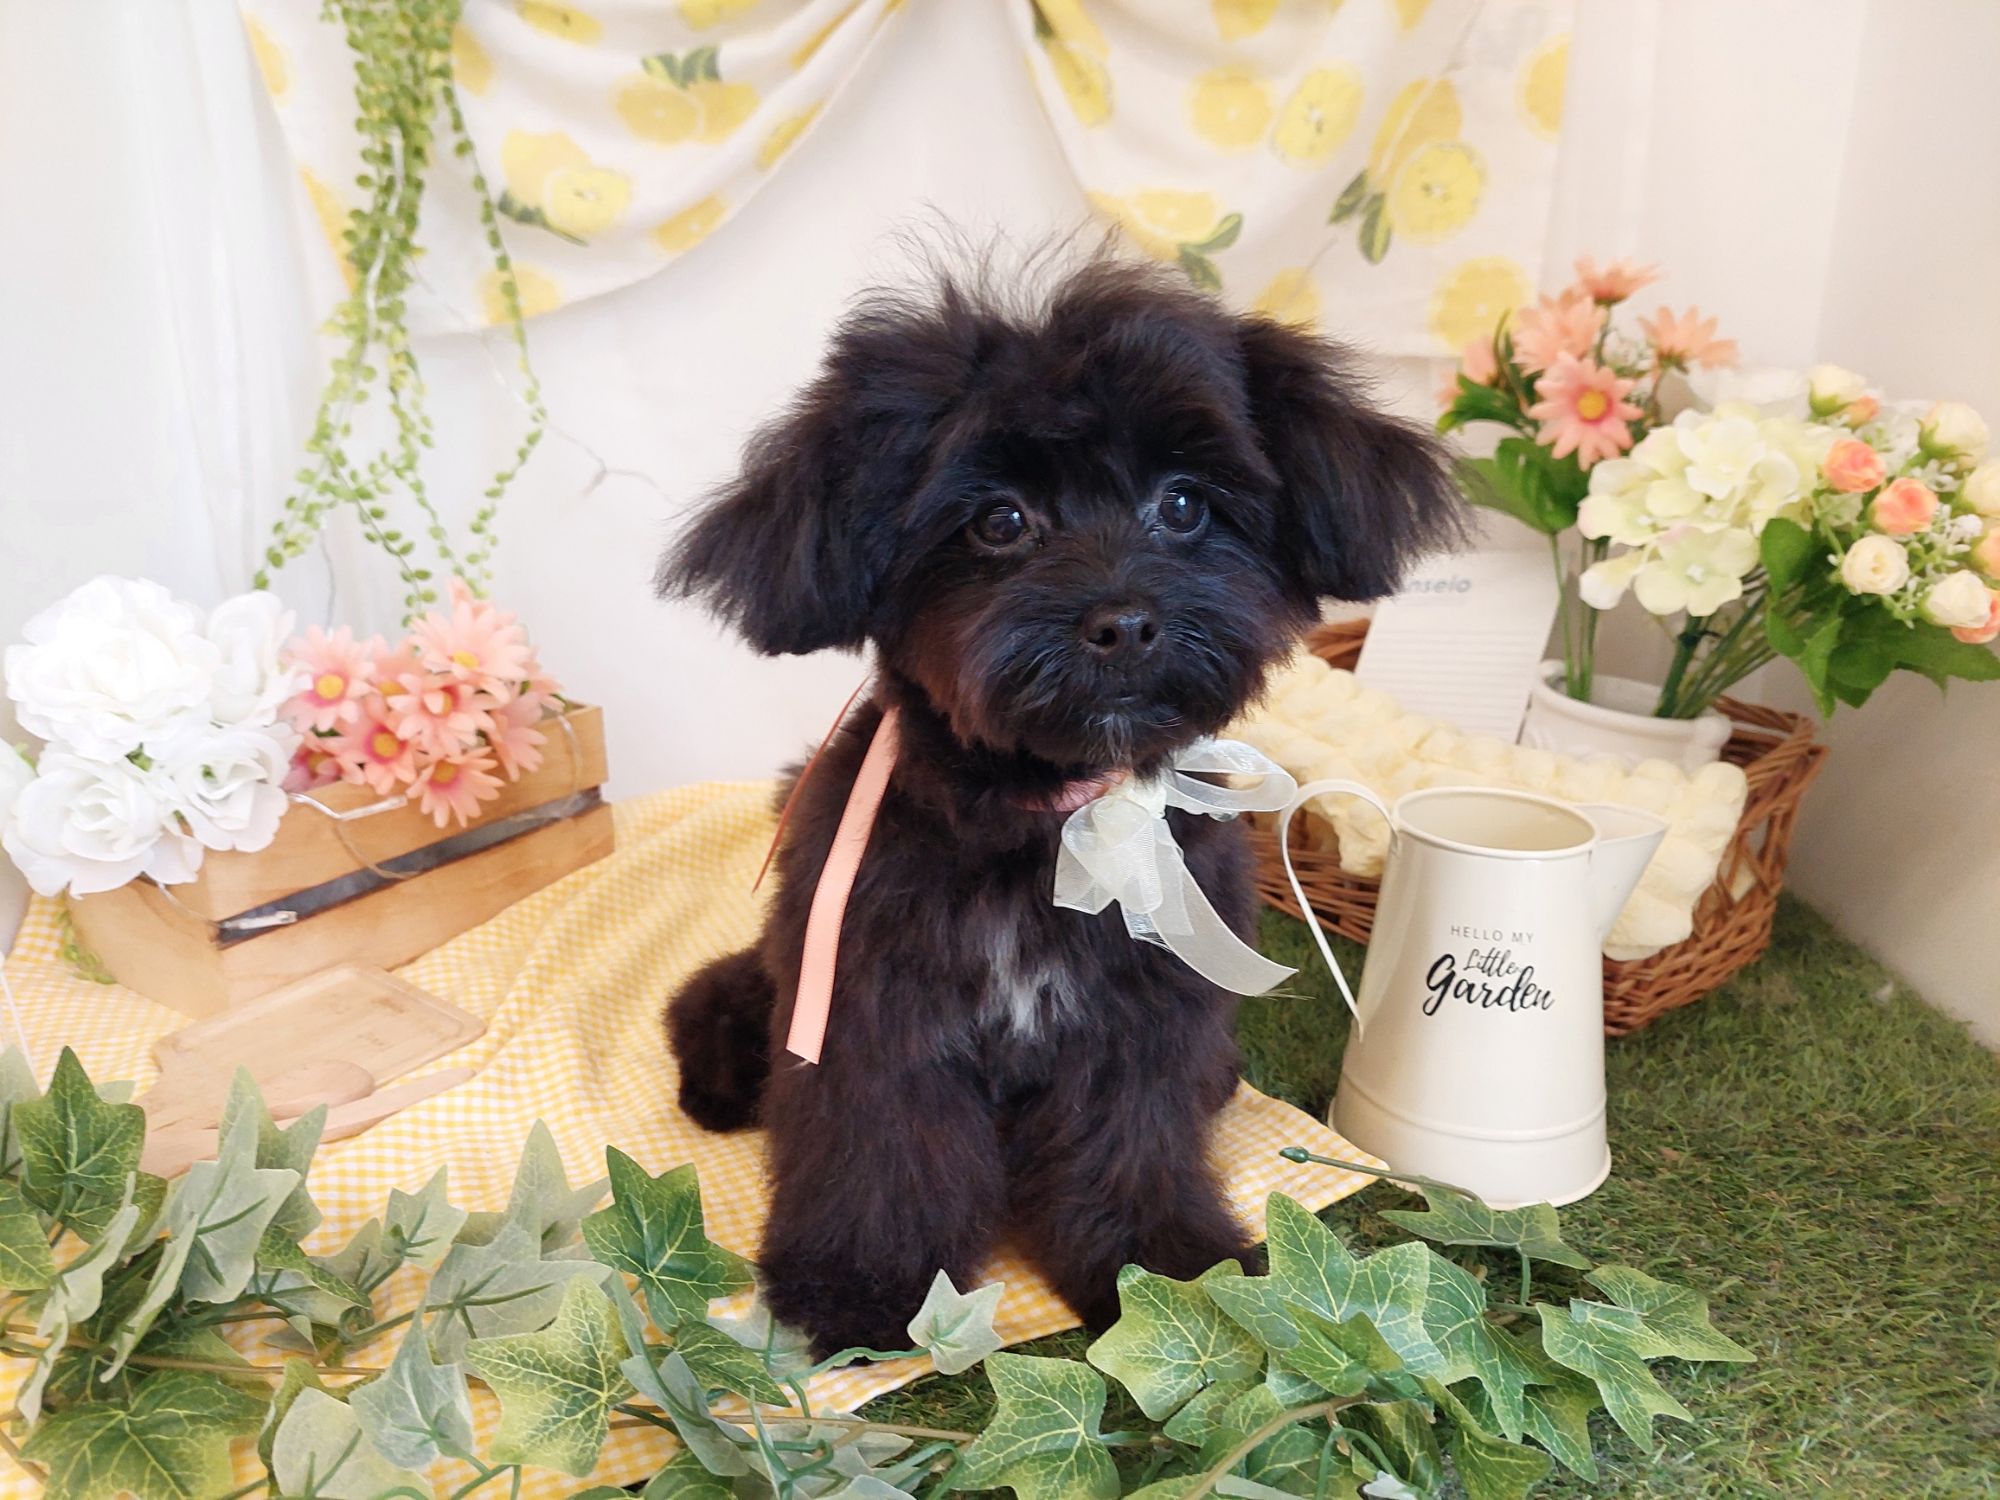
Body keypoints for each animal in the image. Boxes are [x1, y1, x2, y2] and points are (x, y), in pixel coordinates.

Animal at [660, 256, 1460, 1354]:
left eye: (1182, 503)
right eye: (1000, 521)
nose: (1123, 623)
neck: (1050, 818)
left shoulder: (1140, 1023)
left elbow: (1126, 1146)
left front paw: (1167, 1275)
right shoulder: (875, 1010)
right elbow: (880, 1150)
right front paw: (863, 1288)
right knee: (714, 1009)